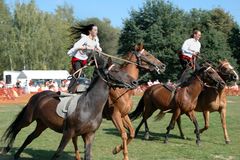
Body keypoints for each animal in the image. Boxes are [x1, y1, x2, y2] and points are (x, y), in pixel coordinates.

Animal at [0, 54, 137, 160]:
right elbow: (57, 153)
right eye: (116, 71)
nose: (135, 82)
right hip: (28, 119)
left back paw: (17, 155)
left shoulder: (89, 135)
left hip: (42, 125)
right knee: (16, 129)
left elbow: (88, 155)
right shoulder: (68, 133)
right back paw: (7, 148)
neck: (89, 106)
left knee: (29, 137)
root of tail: (38, 95)